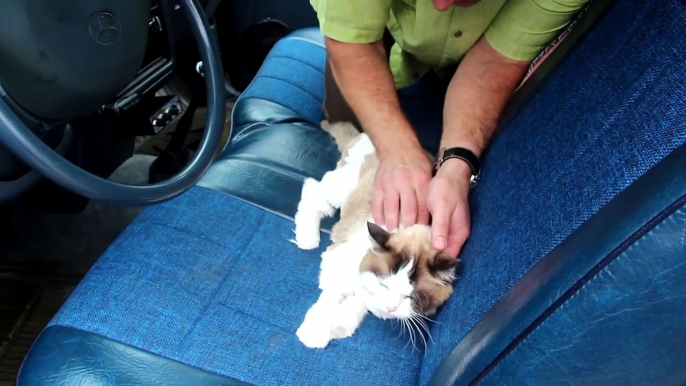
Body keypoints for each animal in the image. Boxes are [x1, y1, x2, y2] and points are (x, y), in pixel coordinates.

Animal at [290, 120, 462, 350]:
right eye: (385, 284)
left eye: (410, 296)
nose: (391, 308)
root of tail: (363, 134)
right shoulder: (336, 264)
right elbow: (330, 299)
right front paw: (314, 333)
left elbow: (356, 307)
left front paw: (340, 327)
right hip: (340, 189)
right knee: (313, 190)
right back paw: (307, 238)